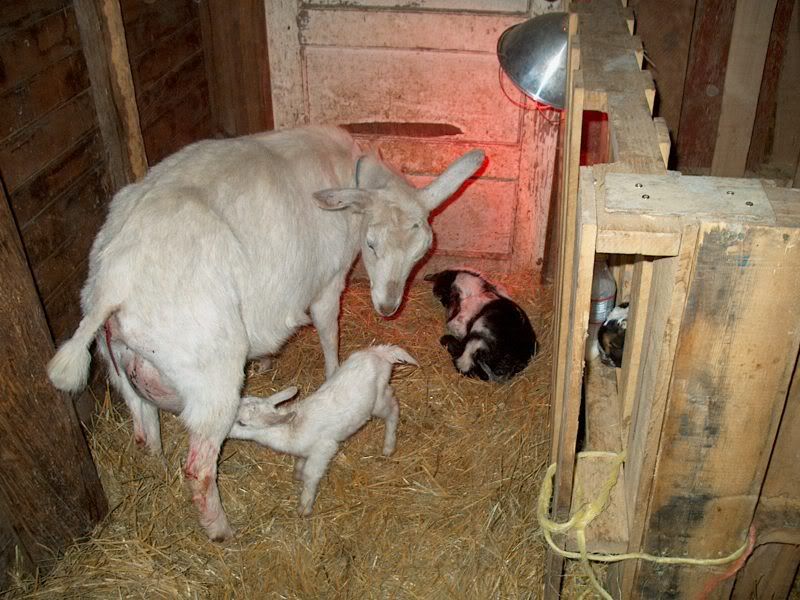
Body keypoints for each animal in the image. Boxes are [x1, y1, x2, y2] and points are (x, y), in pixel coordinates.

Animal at [229, 345, 417, 516]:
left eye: (242, 423)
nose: (225, 430)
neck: (292, 429)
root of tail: (380, 352)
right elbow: (301, 463)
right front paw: (297, 473)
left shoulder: (324, 449)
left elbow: (311, 475)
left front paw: (304, 506)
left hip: (377, 402)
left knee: (393, 409)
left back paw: (389, 446)